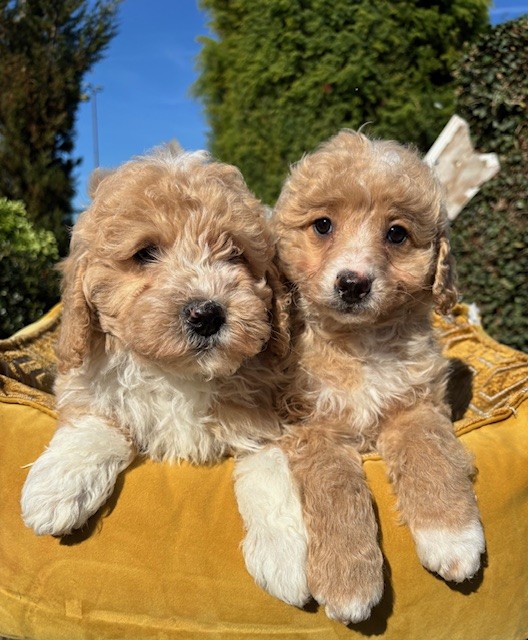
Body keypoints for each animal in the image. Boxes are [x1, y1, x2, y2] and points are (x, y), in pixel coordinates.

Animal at [21, 146, 298, 541]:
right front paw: (57, 488)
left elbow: (269, 467)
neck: (177, 375)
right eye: (144, 253)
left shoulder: (265, 418)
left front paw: (287, 548)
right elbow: (96, 421)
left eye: (236, 253)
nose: (206, 314)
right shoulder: (85, 384)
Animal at [253, 130, 485, 623]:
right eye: (323, 225)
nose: (353, 283)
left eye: (396, 233)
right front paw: (349, 582)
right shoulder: (312, 426)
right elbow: (335, 487)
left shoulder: (415, 403)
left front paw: (452, 538)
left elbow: (430, 453)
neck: (359, 344)